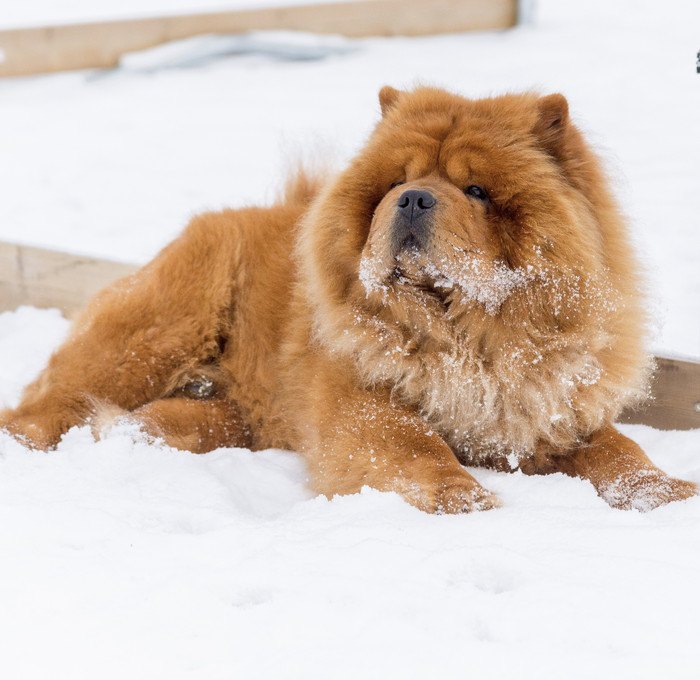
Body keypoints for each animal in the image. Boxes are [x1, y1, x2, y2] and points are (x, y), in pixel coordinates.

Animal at [2, 85, 696, 512]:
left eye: (475, 190)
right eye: (395, 183)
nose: (413, 198)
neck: (467, 337)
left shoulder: (548, 407)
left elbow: (619, 451)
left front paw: (669, 495)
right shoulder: (361, 400)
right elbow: (413, 444)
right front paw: (466, 499)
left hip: (232, 411)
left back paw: (142, 433)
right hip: (157, 334)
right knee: (48, 404)